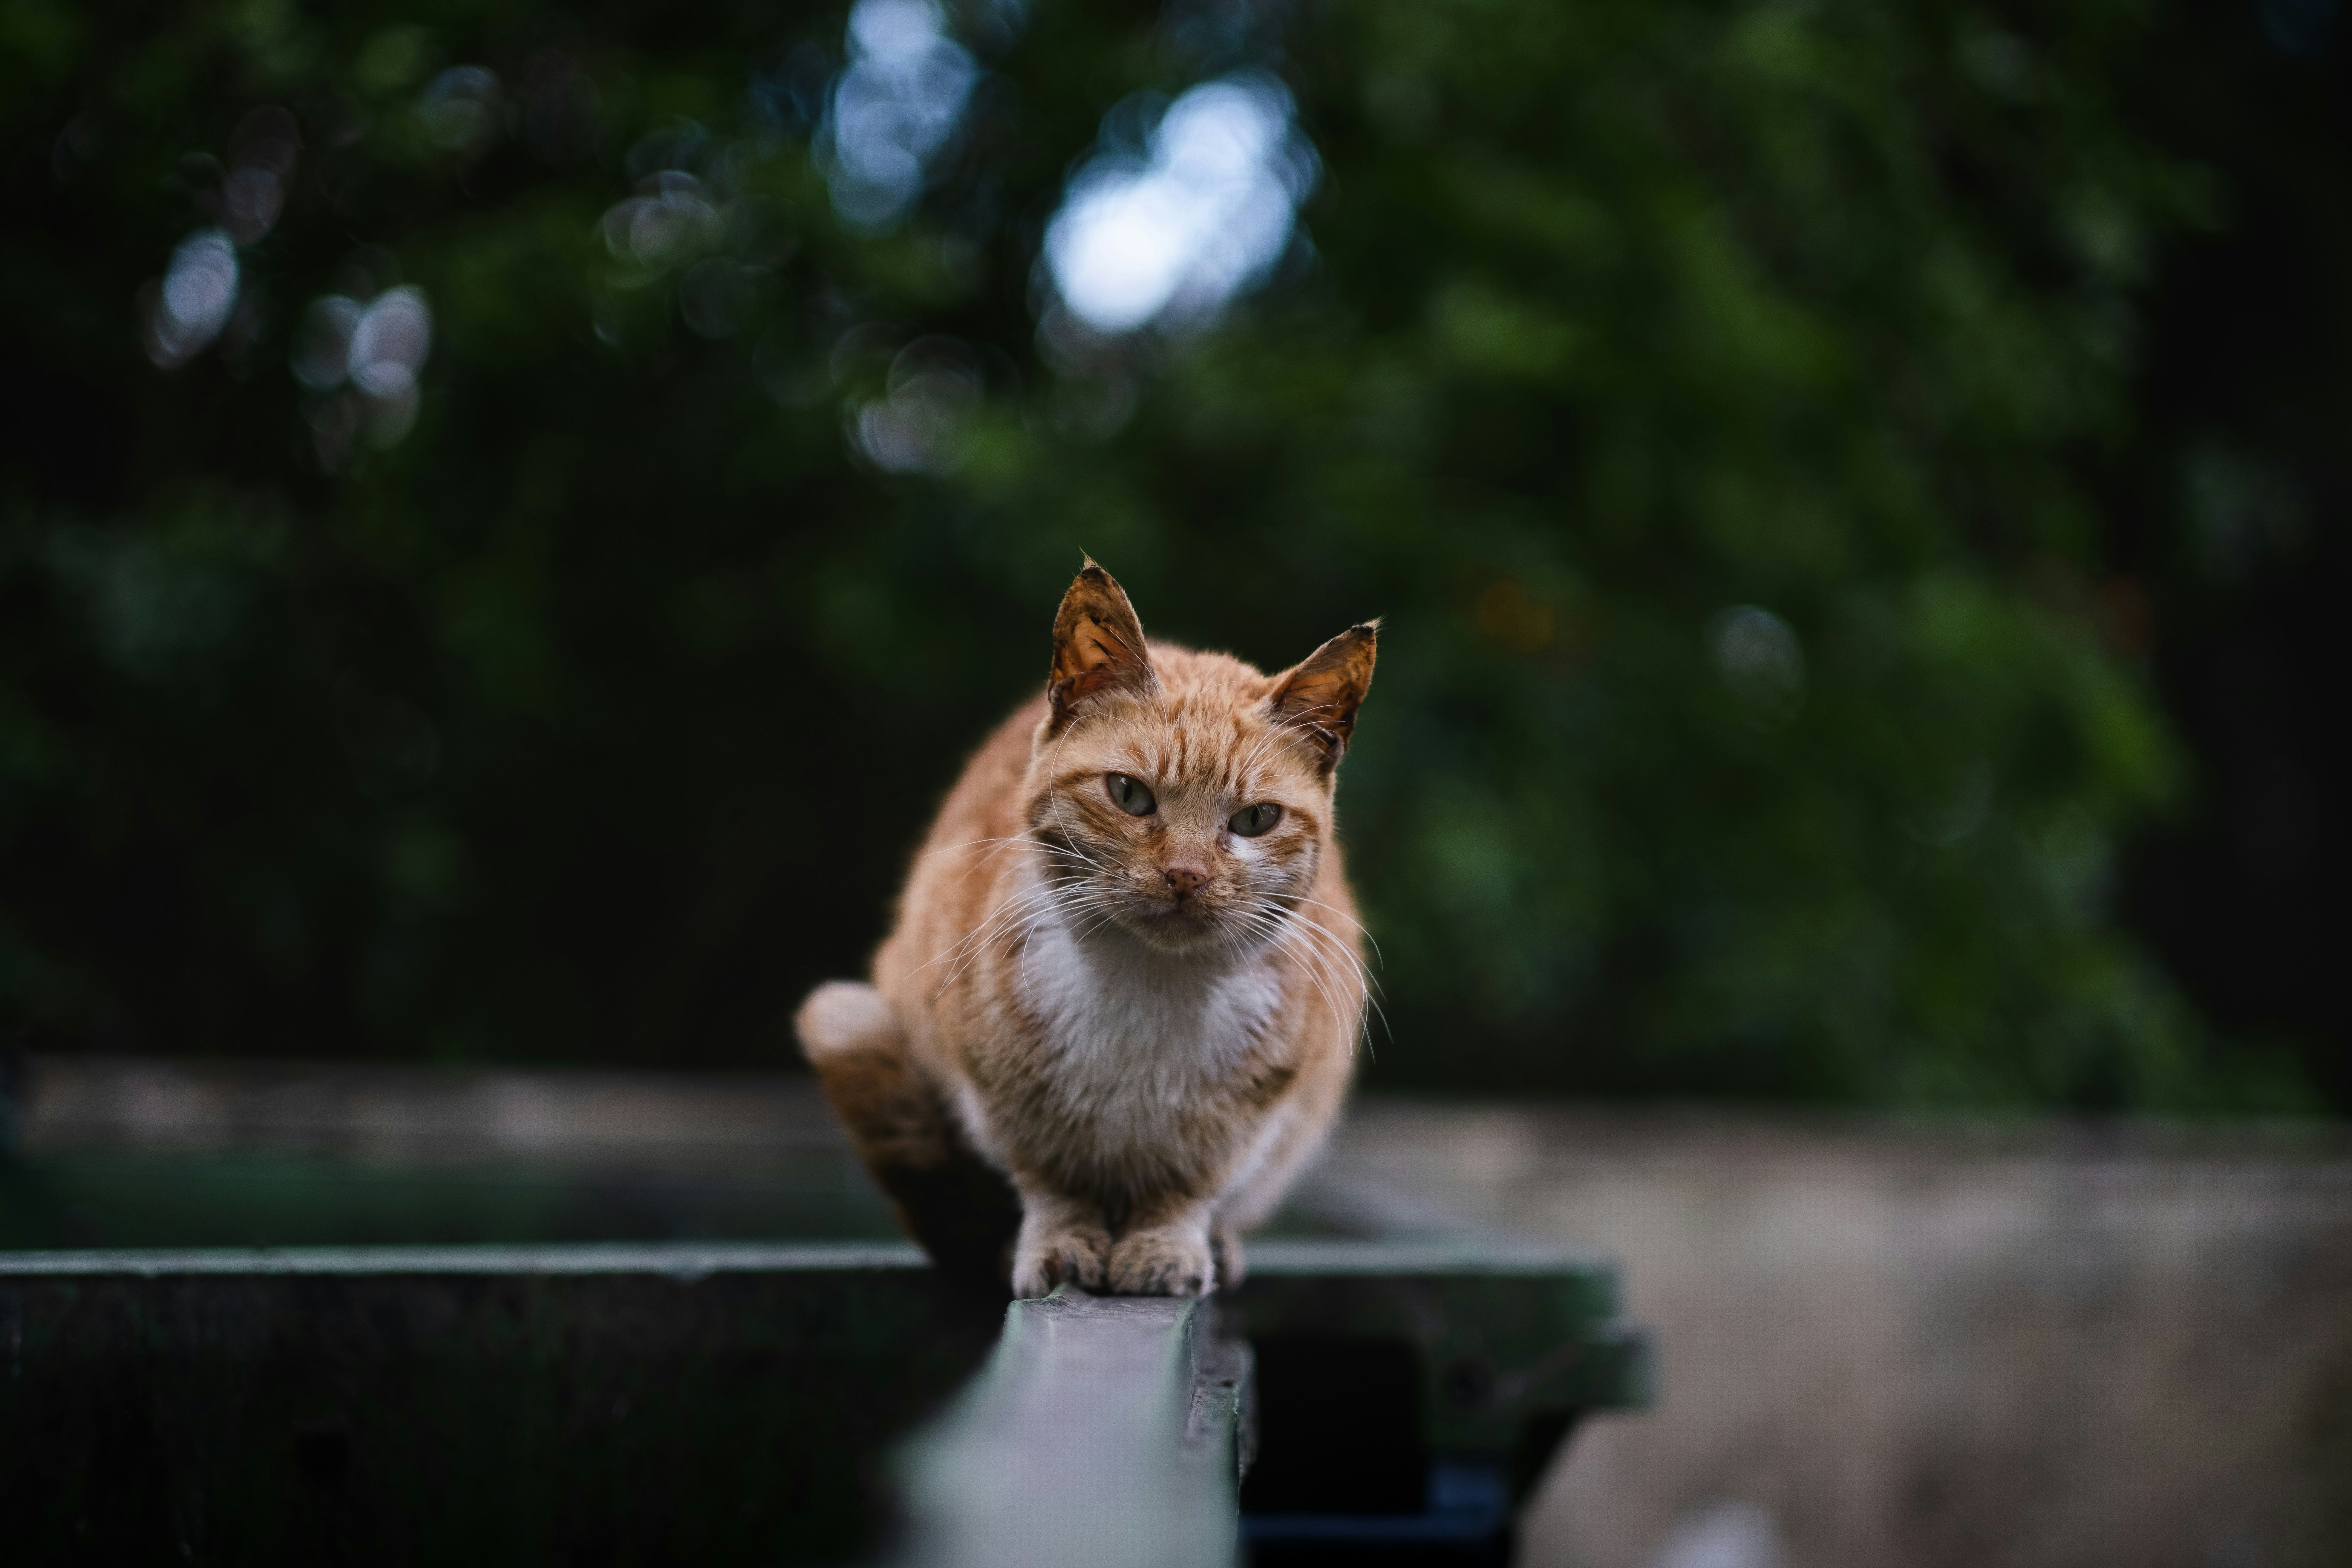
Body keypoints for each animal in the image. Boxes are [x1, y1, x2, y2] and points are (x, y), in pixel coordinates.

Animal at [799, 564, 1374, 1297]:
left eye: (1255, 820)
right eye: (1129, 795)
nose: (1186, 875)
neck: (1150, 987)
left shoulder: (1254, 1110)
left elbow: (1187, 1188)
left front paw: (1164, 1252)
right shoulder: (1001, 1095)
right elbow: (1052, 1184)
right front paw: (1061, 1249)